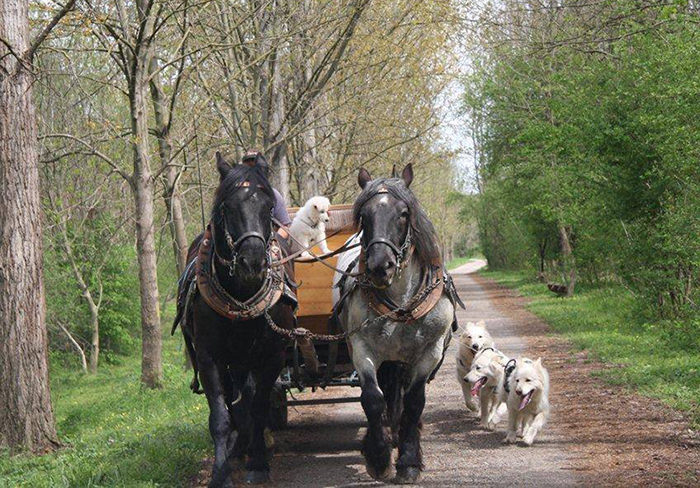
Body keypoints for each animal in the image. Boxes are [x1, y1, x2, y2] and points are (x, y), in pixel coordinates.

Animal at [176, 154, 296, 486]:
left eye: (268, 207)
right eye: (227, 207)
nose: (252, 262)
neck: (242, 295)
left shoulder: (271, 356)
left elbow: (258, 407)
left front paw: (258, 463)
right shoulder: (209, 357)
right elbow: (221, 416)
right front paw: (220, 473)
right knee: (236, 402)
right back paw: (239, 445)